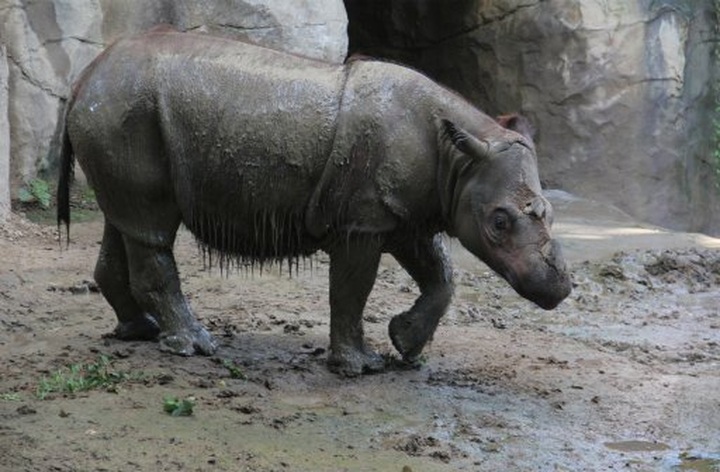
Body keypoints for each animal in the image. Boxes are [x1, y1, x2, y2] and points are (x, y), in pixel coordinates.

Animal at [57, 29, 571, 376]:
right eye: (499, 222)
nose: (559, 290)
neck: (459, 160)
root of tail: (83, 78)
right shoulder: (363, 221)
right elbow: (352, 290)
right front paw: (359, 366)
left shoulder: (403, 214)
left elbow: (440, 274)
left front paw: (404, 344)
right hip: (127, 110)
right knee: (151, 229)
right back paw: (195, 345)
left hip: (121, 113)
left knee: (127, 222)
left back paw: (141, 331)